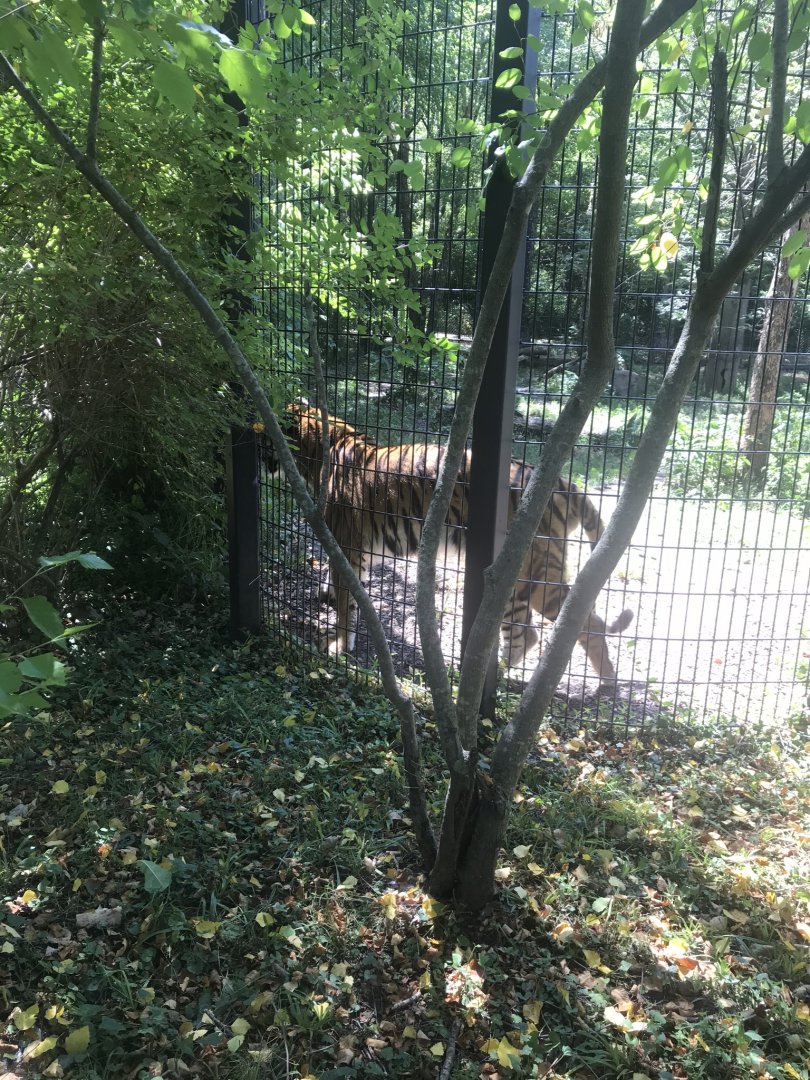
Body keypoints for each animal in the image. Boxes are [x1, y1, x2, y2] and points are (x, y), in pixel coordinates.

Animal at [271, 403, 633, 682]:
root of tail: (563, 483)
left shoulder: (348, 546)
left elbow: (348, 599)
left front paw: (337, 643)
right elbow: (338, 582)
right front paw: (327, 594)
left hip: (536, 575)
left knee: (586, 624)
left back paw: (607, 684)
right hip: (512, 580)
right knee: (525, 633)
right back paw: (492, 675)